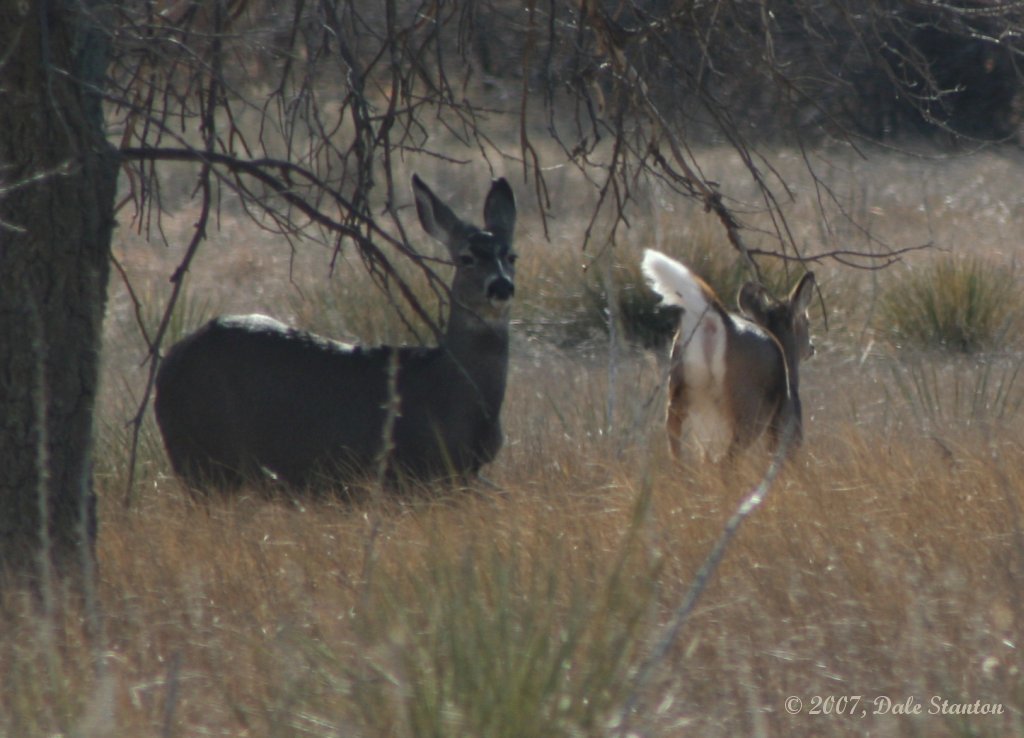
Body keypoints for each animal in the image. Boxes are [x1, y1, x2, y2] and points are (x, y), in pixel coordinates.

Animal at [152, 174, 516, 495]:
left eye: (512, 255)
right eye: (466, 258)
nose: (501, 286)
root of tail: (168, 363)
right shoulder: (409, 469)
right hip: (202, 457)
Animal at [638, 250, 815, 462]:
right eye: (807, 321)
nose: (812, 347)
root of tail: (720, 321)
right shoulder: (787, 438)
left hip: (679, 392)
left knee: (677, 450)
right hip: (748, 409)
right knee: (726, 460)